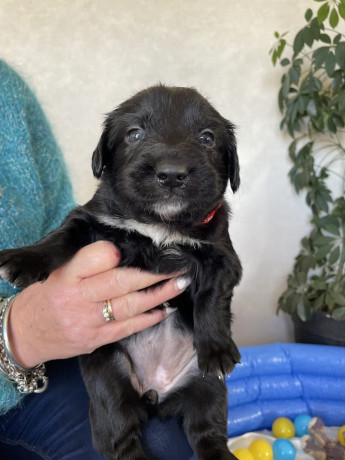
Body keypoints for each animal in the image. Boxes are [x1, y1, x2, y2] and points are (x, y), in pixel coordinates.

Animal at [0, 86, 242, 460]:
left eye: (206, 137)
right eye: (134, 134)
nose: (171, 173)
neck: (159, 224)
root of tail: (156, 393)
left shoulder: (222, 256)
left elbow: (212, 299)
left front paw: (216, 349)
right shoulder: (91, 219)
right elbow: (60, 237)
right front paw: (24, 259)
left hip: (208, 388)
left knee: (207, 432)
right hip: (108, 380)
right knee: (119, 436)